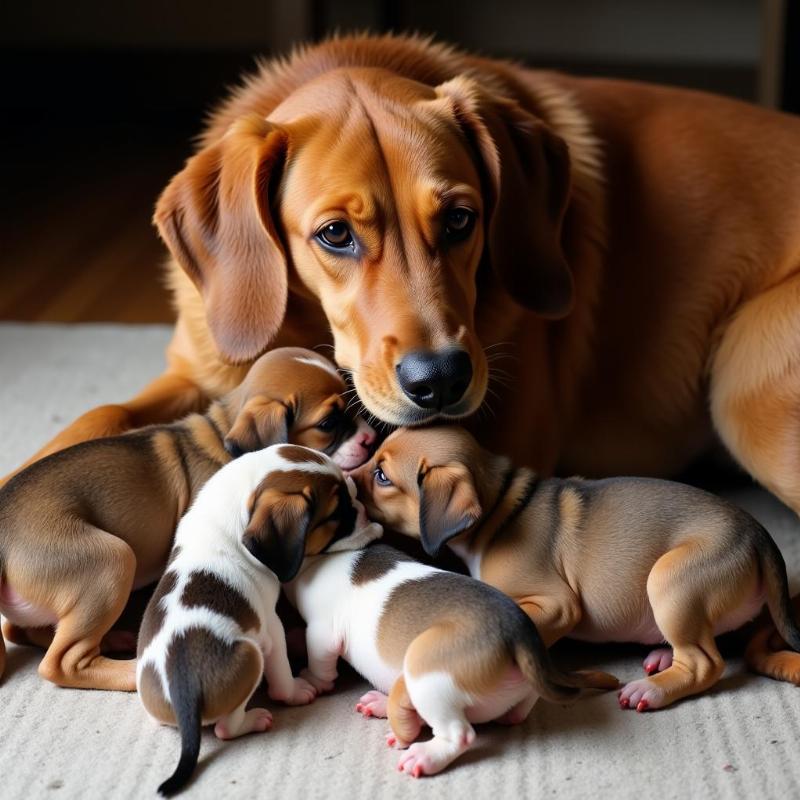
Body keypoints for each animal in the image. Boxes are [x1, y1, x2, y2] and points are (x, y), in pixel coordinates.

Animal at [0, 346, 376, 692]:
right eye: (328, 424)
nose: (371, 440)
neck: (223, 435)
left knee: (25, 632)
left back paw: (112, 639)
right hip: (113, 560)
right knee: (63, 662)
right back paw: (131, 669)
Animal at [137, 444, 382, 792]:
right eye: (337, 514)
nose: (363, 509)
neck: (229, 517)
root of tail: (183, 689)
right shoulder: (272, 627)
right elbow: (281, 670)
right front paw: (294, 692)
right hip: (251, 657)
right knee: (226, 728)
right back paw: (253, 720)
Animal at [284, 544, 616, 776]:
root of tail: (517, 635)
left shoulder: (322, 632)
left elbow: (320, 661)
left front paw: (310, 680)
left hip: (427, 674)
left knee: (459, 734)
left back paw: (425, 756)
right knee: (519, 708)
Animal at [354, 428, 800, 716]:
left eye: (382, 476)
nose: (347, 480)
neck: (500, 507)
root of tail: (759, 535)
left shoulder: (557, 606)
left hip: (671, 578)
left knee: (705, 662)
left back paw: (652, 690)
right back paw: (661, 654)